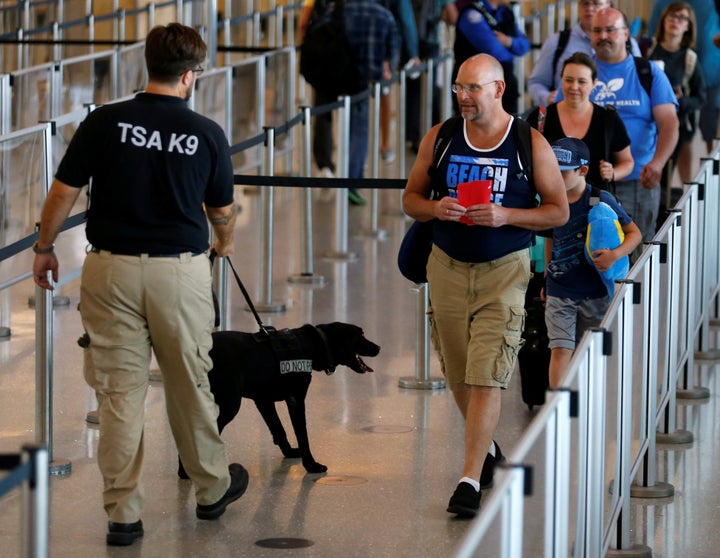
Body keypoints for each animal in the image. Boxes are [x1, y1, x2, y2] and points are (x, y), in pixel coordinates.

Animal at [179, 322, 382, 480]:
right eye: (361, 335)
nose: (379, 347)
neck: (312, 344)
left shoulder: (263, 400)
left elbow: (278, 428)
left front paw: (289, 452)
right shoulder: (296, 400)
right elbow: (302, 435)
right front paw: (311, 465)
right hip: (230, 405)